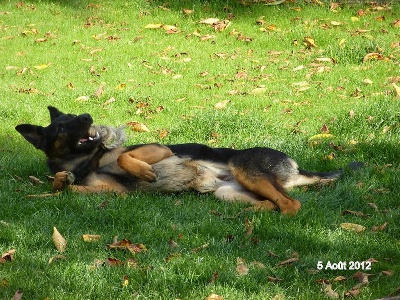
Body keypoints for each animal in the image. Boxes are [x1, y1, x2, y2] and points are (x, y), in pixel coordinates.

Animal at [15, 106, 362, 214]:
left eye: (76, 117)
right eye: (62, 125)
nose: (88, 117)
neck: (84, 160)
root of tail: (295, 167)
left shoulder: (159, 148)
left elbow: (126, 155)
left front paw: (145, 172)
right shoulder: (111, 193)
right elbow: (64, 186)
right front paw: (61, 180)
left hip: (244, 168)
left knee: (291, 204)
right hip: (228, 193)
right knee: (273, 203)